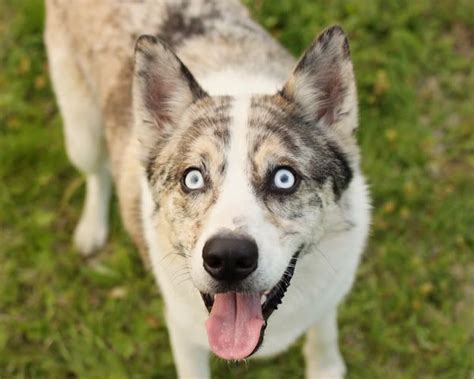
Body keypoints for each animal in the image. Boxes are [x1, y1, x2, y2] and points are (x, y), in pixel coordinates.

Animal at [45, 1, 370, 378]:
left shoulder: (329, 296)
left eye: (284, 179)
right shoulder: (183, 332)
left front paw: (325, 366)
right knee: (97, 171)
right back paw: (91, 230)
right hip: (81, 132)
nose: (228, 258)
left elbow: (323, 333)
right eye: (193, 179)